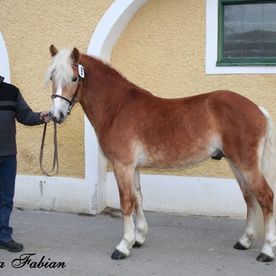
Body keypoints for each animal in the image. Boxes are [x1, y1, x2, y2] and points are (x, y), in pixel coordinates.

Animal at [45, 45, 276, 264]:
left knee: (265, 197)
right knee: (249, 197)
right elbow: (138, 198)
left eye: (74, 78)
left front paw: (123, 246)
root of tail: (258, 110)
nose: (56, 116)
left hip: (246, 165)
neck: (117, 107)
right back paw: (244, 241)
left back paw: (266, 251)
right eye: (52, 77)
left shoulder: (123, 165)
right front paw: (139, 238)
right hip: (236, 165)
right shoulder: (133, 167)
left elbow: (126, 202)